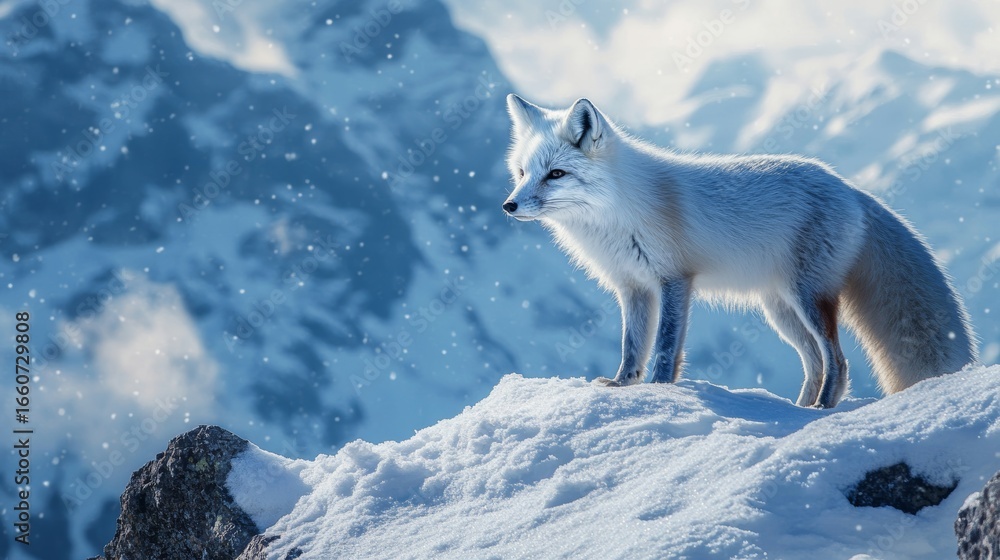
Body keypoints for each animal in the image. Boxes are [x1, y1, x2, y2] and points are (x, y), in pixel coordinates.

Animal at [501, 94, 978, 408]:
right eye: (522, 172)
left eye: (556, 174)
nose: (508, 206)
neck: (616, 212)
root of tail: (849, 187)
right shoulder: (632, 287)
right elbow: (631, 346)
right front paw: (622, 387)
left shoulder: (674, 280)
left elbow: (665, 348)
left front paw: (659, 391)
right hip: (780, 309)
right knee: (814, 362)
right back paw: (799, 410)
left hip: (809, 298)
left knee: (837, 361)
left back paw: (823, 408)